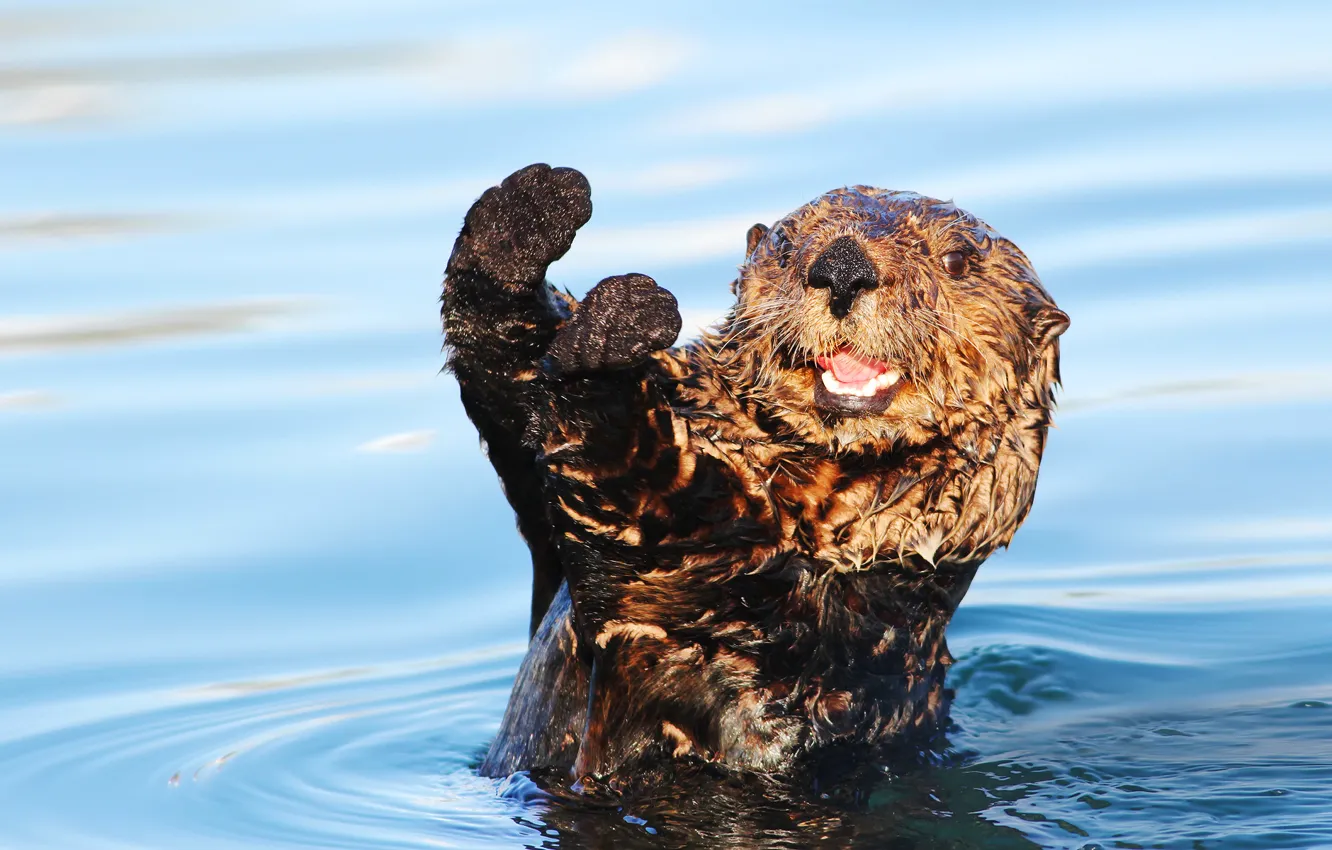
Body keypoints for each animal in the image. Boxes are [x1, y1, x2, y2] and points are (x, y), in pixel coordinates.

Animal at [441, 164, 1067, 787]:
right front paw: (527, 214)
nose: (843, 267)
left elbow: (646, 497)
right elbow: (511, 394)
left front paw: (613, 334)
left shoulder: (741, 607)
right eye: (787, 245)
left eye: (957, 260)